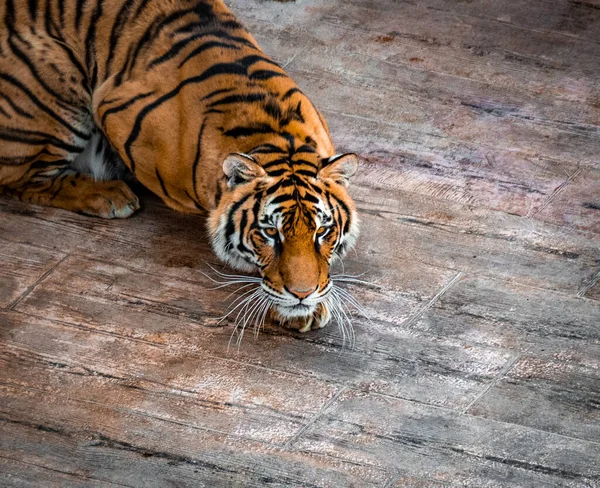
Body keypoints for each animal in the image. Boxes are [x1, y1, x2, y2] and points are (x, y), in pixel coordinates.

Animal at [0, 0, 356, 332]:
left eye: (322, 231)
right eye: (270, 232)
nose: (302, 294)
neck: (279, 138)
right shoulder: (110, 104)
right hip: (57, 89)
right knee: (22, 182)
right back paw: (109, 194)